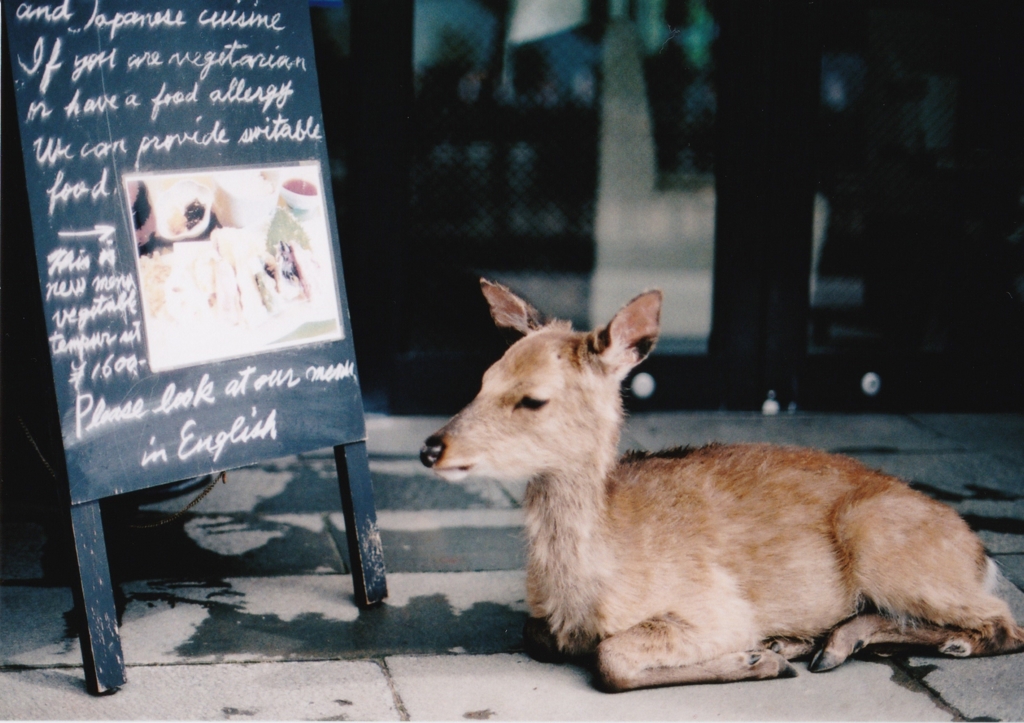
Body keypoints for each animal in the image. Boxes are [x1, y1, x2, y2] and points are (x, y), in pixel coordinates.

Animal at [417, 278, 1024, 688]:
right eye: (482, 380)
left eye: (534, 398)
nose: (431, 447)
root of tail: (980, 555)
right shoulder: (545, 620)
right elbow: (537, 634)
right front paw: (770, 652)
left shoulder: (716, 604)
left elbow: (611, 659)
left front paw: (757, 659)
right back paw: (816, 643)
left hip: (883, 540)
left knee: (1007, 625)